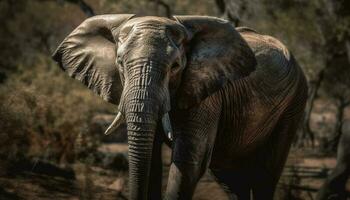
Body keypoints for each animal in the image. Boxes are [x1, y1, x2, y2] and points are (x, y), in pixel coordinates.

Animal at [53, 14, 308, 200]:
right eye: (120, 64)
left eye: (175, 66)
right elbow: (151, 160)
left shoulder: (207, 94)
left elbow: (188, 162)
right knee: (233, 180)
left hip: (294, 103)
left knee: (265, 176)